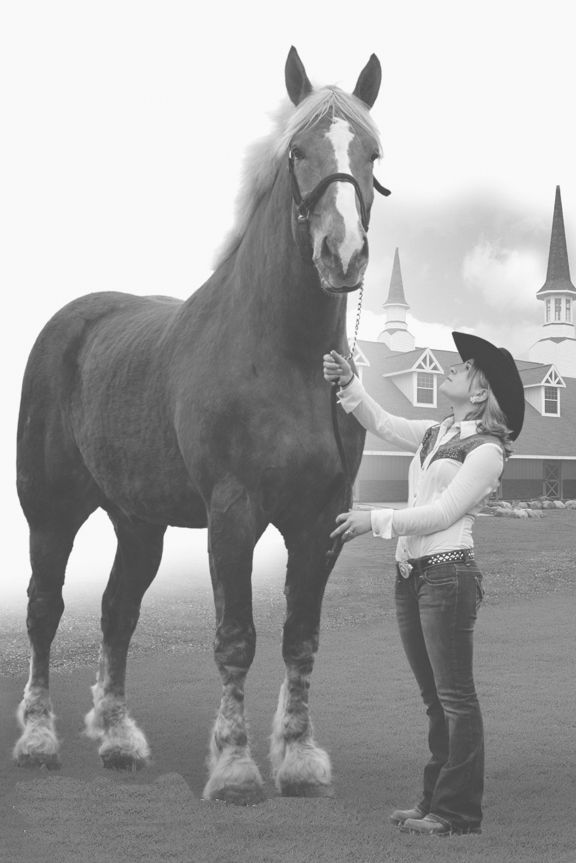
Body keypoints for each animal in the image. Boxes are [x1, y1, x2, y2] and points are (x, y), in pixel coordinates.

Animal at [14, 46, 387, 805]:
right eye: (298, 151)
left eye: (373, 152)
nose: (343, 256)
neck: (284, 356)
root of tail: (70, 320)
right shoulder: (234, 514)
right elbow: (236, 636)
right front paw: (236, 768)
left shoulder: (321, 521)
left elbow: (300, 637)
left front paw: (299, 761)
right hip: (51, 512)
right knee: (44, 609)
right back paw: (38, 740)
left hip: (138, 521)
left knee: (116, 610)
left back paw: (120, 740)